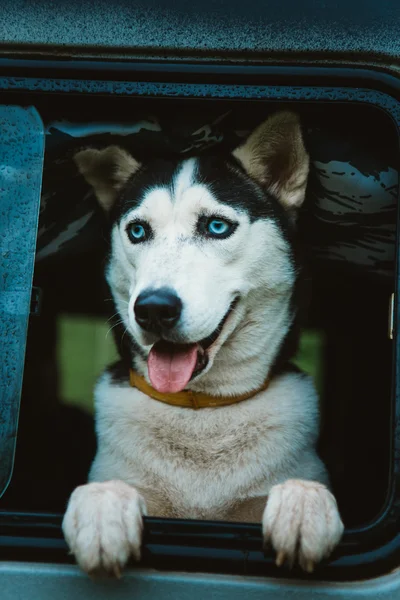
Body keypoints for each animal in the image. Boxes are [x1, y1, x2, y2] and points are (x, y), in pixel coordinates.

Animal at [62, 112, 344, 576]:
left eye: (216, 226)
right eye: (137, 231)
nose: (154, 308)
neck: (201, 408)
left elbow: (300, 486)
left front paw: (304, 504)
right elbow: (108, 487)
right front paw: (102, 509)